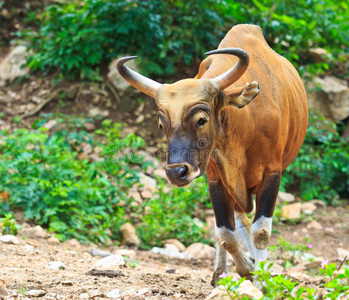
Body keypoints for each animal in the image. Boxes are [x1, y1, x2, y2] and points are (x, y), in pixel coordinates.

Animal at [117, 24, 308, 284]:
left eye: (201, 119)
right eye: (161, 125)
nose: (176, 172)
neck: (243, 125)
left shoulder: (272, 174)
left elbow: (260, 232)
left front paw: (261, 279)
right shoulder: (217, 179)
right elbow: (226, 234)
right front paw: (246, 268)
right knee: (235, 223)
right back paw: (222, 272)